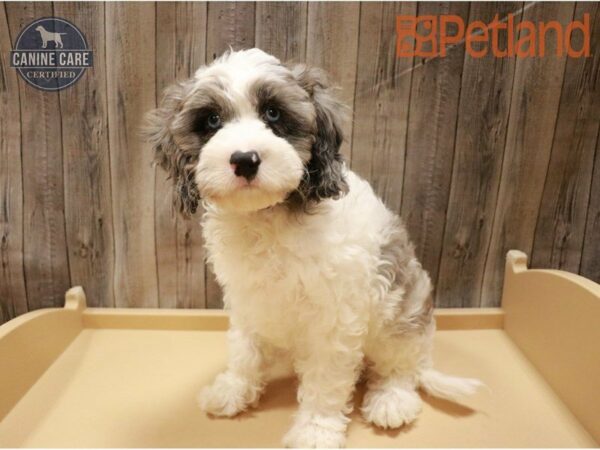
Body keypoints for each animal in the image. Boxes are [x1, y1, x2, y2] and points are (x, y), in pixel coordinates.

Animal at [143, 47, 480, 448]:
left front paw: (316, 430)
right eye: (211, 120)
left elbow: (326, 380)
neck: (268, 216)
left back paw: (391, 399)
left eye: (273, 113)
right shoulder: (248, 300)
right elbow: (243, 351)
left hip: (402, 312)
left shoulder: (334, 318)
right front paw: (233, 390)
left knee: (401, 366)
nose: (245, 159)